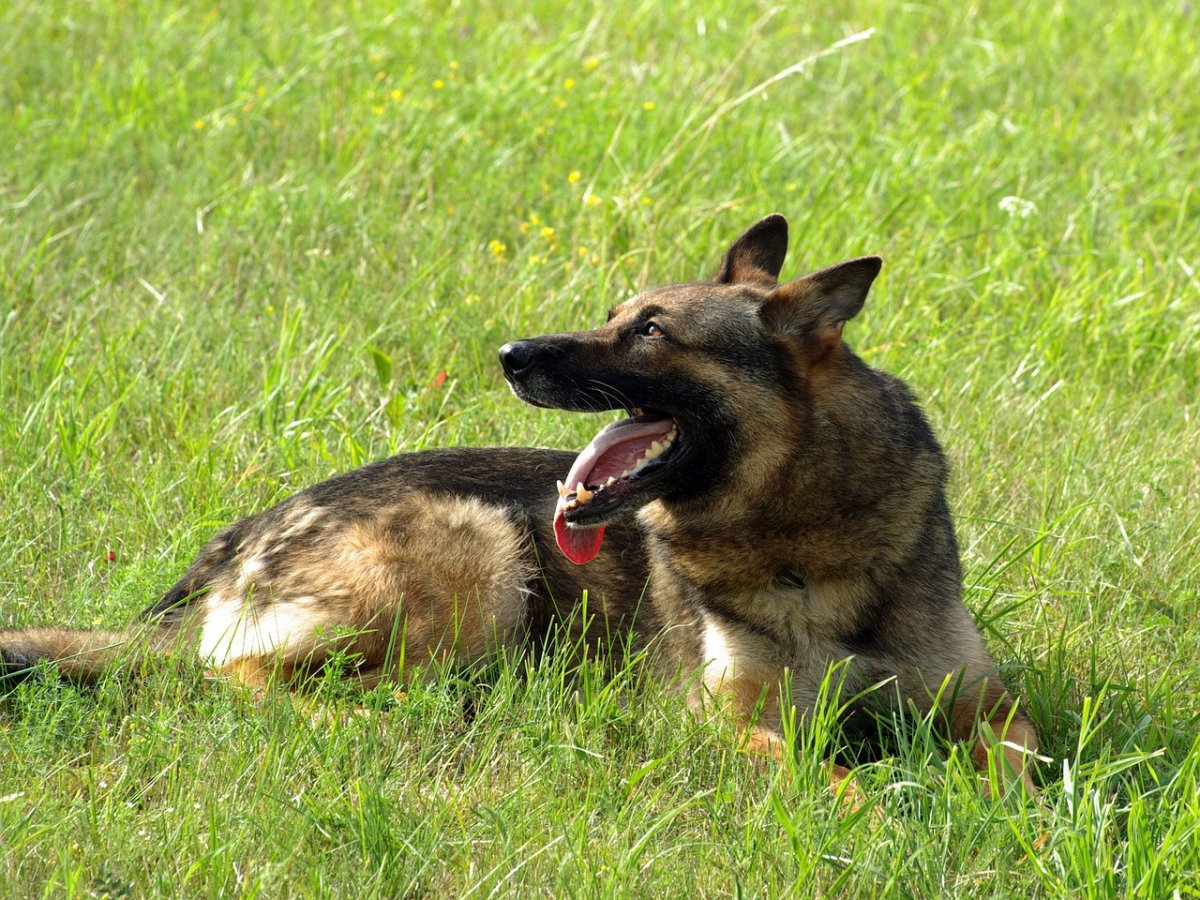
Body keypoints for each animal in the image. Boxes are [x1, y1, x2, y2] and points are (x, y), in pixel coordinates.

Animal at [0, 218, 1036, 796]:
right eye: (617, 315)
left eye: (650, 331)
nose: (508, 354)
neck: (800, 538)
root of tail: (241, 539)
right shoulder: (724, 718)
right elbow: (814, 771)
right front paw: (881, 809)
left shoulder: (981, 702)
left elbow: (1024, 760)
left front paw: (1012, 817)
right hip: (479, 553)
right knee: (242, 677)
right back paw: (378, 723)